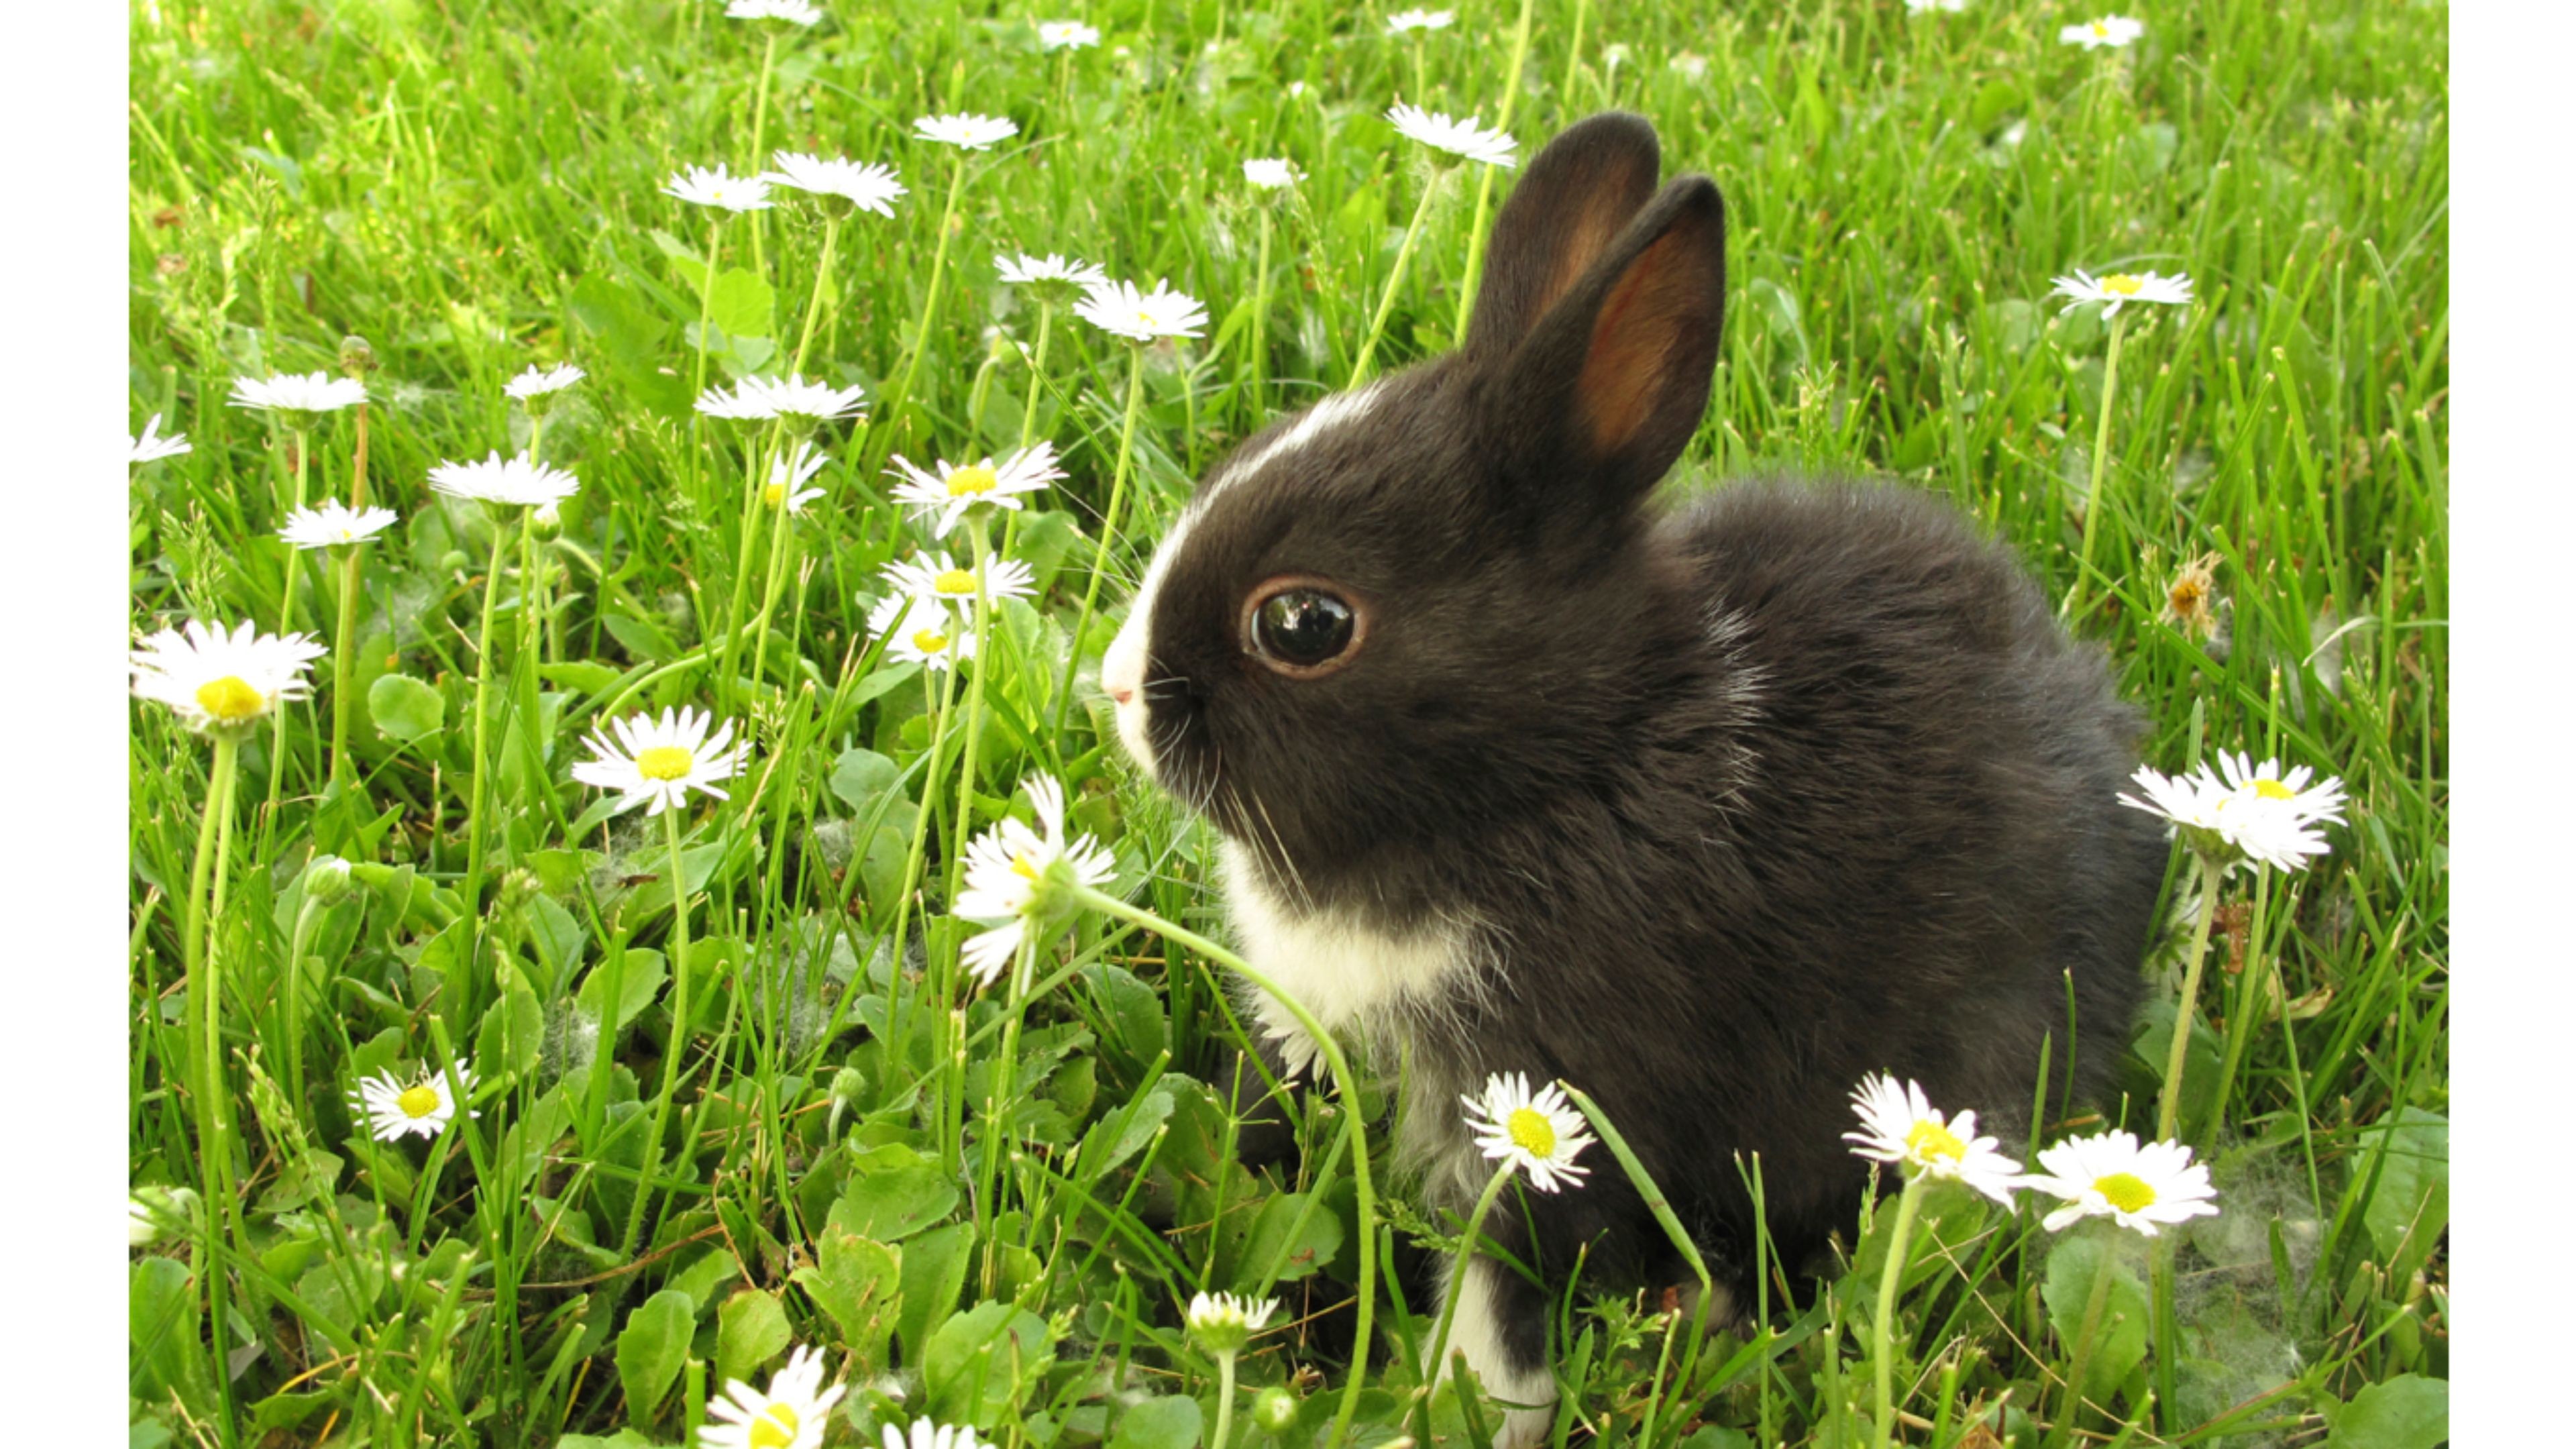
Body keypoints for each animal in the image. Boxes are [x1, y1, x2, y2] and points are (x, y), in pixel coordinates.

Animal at [1099, 111, 2167, 1446]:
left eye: (1303, 624)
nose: (1117, 692)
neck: (1568, 763)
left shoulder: (1557, 1108)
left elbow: (1502, 1288)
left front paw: (1455, 1412)